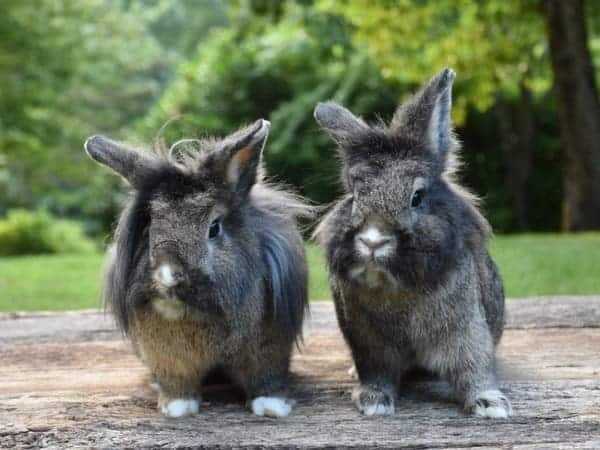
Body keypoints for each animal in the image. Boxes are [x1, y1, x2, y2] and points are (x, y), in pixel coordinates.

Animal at [83, 119, 310, 418]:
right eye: (150, 229)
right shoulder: (167, 358)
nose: (167, 277)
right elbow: (177, 384)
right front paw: (177, 408)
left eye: (214, 228)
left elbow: (266, 379)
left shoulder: (269, 349)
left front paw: (271, 408)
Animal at [312, 68, 512, 420]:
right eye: (354, 195)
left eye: (417, 197)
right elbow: (376, 374)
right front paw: (373, 402)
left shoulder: (466, 332)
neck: (396, 287)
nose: (373, 241)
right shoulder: (370, 347)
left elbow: (474, 368)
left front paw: (491, 406)